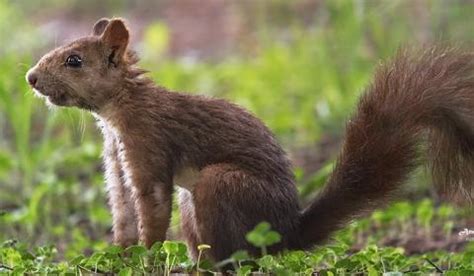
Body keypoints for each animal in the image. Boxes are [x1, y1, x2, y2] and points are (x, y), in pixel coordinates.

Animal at [25, 18, 474, 262]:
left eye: (74, 61)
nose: (30, 78)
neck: (118, 111)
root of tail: (288, 234)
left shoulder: (148, 147)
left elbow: (151, 209)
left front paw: (147, 257)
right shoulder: (116, 163)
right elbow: (121, 212)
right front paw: (121, 256)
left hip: (220, 185)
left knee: (235, 257)